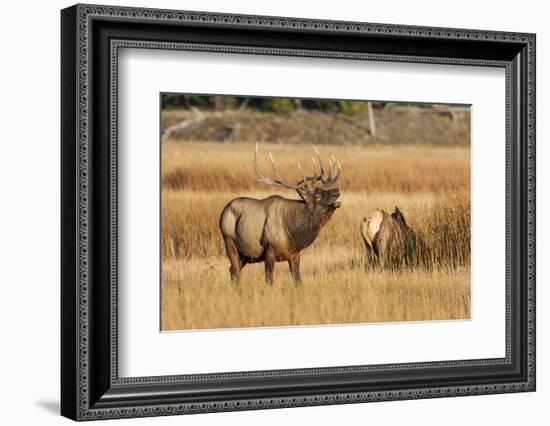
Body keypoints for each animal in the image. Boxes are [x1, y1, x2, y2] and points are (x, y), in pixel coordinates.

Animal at [219, 141, 340, 284]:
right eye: (317, 195)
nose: (336, 190)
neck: (293, 233)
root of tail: (222, 212)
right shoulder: (269, 250)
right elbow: (269, 280)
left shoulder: (295, 254)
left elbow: (298, 281)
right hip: (229, 241)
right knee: (235, 269)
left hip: (245, 255)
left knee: (233, 270)